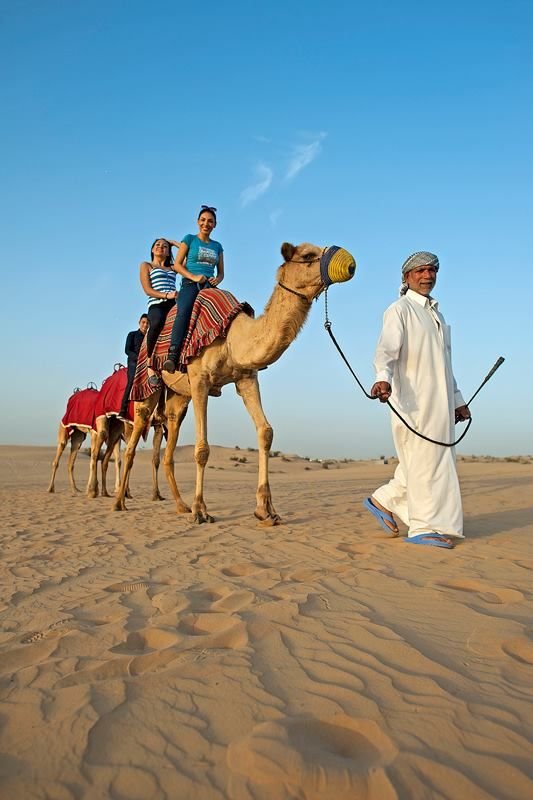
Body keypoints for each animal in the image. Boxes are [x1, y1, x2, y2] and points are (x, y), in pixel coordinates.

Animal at [113, 242, 355, 523]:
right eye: (307, 256)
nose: (350, 264)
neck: (231, 336)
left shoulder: (246, 378)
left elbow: (266, 432)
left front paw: (266, 510)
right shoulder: (200, 380)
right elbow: (202, 448)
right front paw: (201, 510)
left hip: (178, 396)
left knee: (169, 444)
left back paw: (181, 506)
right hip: (147, 388)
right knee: (133, 441)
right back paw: (120, 502)